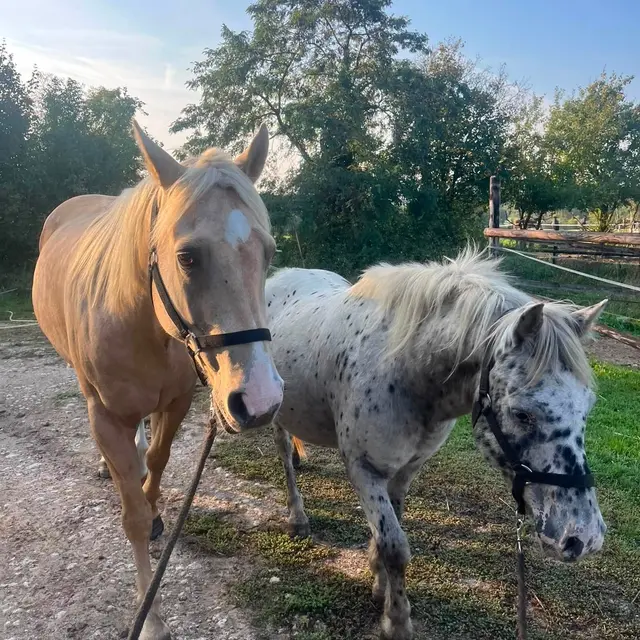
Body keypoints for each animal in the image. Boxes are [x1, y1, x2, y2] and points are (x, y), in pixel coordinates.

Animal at [32, 121, 283, 640]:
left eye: (268, 252)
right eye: (186, 257)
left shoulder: (177, 401)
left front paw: (153, 507)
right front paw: (150, 617)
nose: (260, 400)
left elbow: (157, 462)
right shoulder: (106, 417)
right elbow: (129, 515)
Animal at [265, 248, 607, 640]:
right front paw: (397, 620)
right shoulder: (364, 470)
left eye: (587, 406)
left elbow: (389, 531)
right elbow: (395, 547)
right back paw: (297, 517)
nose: (582, 538)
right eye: (522, 414)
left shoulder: (405, 470)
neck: (404, 371)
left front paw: (379, 583)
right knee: (284, 459)